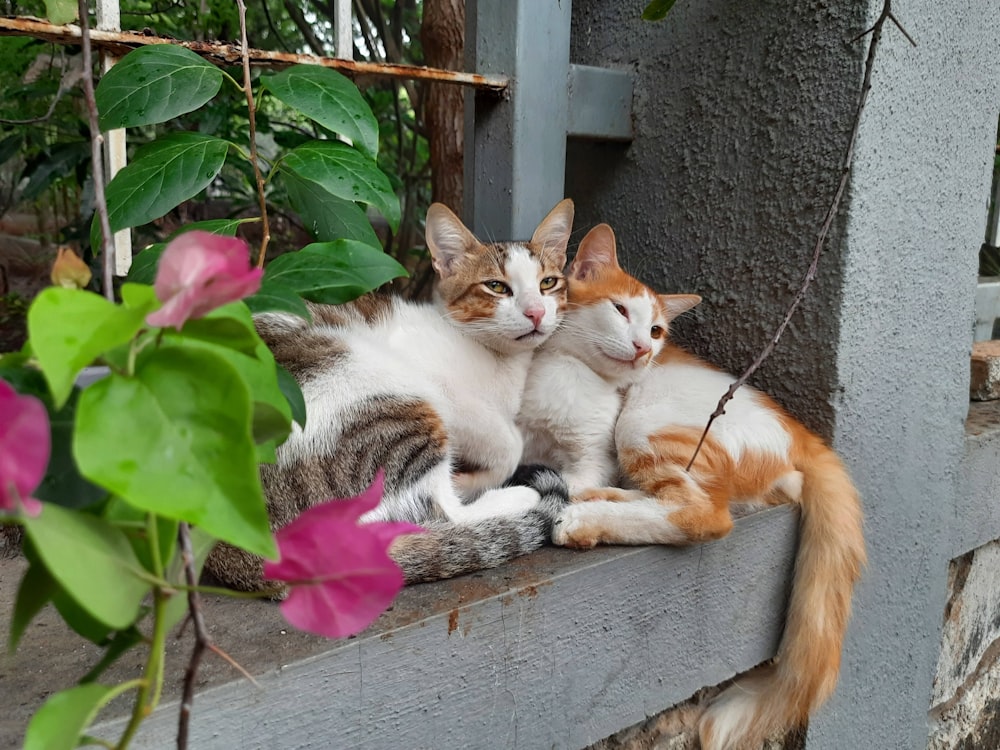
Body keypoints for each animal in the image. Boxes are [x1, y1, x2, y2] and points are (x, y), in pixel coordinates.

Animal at [205, 198, 572, 592]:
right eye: (497, 287)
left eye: (548, 283)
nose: (535, 312)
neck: (501, 361)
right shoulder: (445, 391)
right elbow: (509, 442)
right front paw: (476, 475)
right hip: (387, 391)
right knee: (445, 512)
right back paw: (512, 495)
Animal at [520, 220, 700, 496]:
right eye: (620, 309)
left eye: (655, 331)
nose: (643, 348)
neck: (570, 370)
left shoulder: (598, 461)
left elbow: (575, 485)